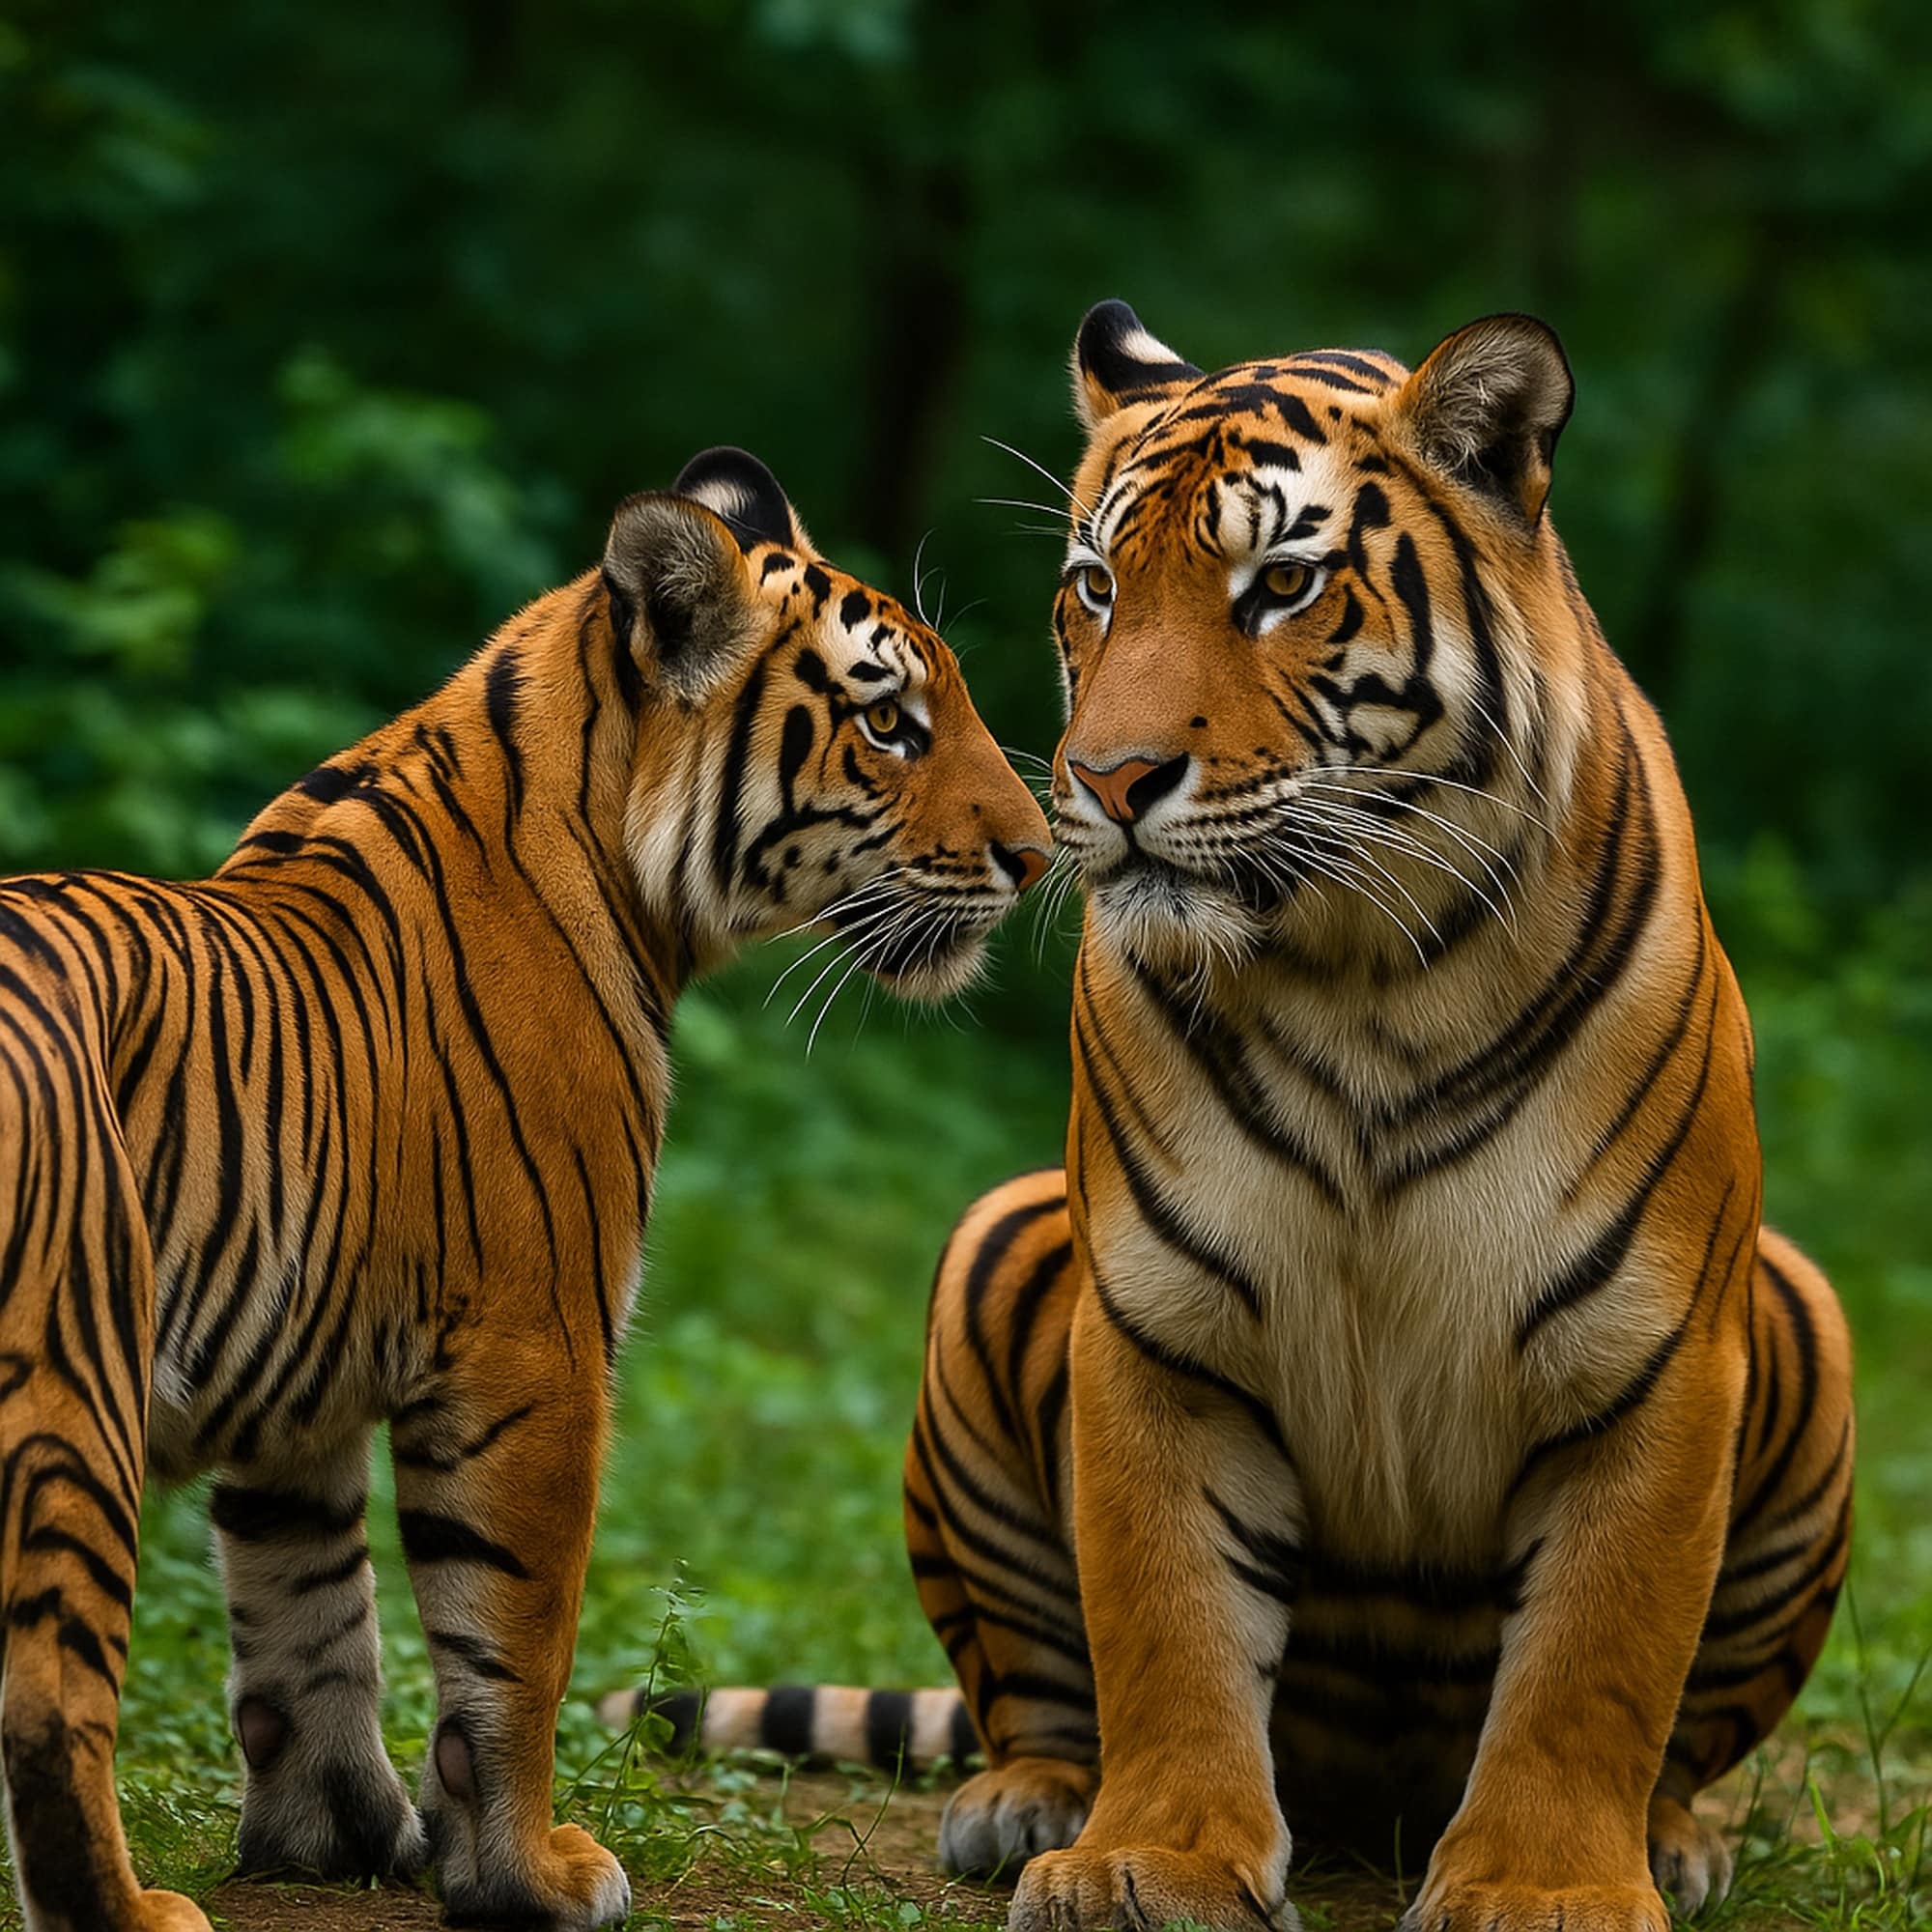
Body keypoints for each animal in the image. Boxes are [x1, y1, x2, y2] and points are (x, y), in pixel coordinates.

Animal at [0, 444, 1049, 1932]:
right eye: (891, 724)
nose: (1038, 854)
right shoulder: (535, 1349)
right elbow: (514, 1640)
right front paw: (527, 1871)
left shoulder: (299, 1394)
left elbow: (310, 1619)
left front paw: (337, 1840)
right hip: (71, 1389)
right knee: (49, 1697)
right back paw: (135, 1910)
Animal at [615, 309, 1855, 1932]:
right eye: (1097, 587)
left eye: (1281, 585)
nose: (1104, 781)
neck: (1369, 977)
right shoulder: (1160, 1329)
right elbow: (1169, 1624)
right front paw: (1154, 1860)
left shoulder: (1651, 1356)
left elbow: (1598, 1662)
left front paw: (1548, 1887)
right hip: (993, 1250)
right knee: (1036, 1684)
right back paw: (1028, 1801)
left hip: (1805, 1313)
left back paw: (1673, 1839)